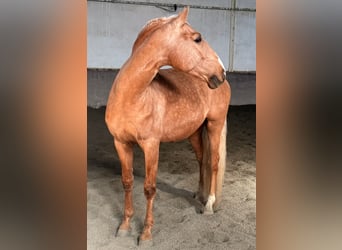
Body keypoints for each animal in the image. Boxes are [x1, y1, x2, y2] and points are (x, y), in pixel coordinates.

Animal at [105, 6, 231, 243]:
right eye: (197, 38)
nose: (221, 71)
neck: (133, 97)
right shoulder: (121, 143)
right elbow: (127, 182)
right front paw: (124, 226)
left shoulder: (151, 146)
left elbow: (149, 188)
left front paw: (145, 233)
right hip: (194, 132)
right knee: (202, 159)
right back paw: (198, 194)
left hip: (214, 124)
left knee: (214, 162)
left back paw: (208, 204)